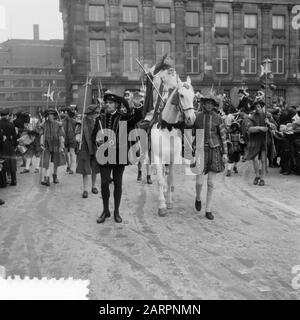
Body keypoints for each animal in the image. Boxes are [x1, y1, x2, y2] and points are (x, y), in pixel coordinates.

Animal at [149, 68, 196, 216]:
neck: (167, 128)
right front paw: (162, 205)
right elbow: (160, 180)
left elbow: (170, 179)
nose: (191, 119)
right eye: (181, 95)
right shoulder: (158, 157)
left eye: (194, 96)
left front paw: (169, 201)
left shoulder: (172, 158)